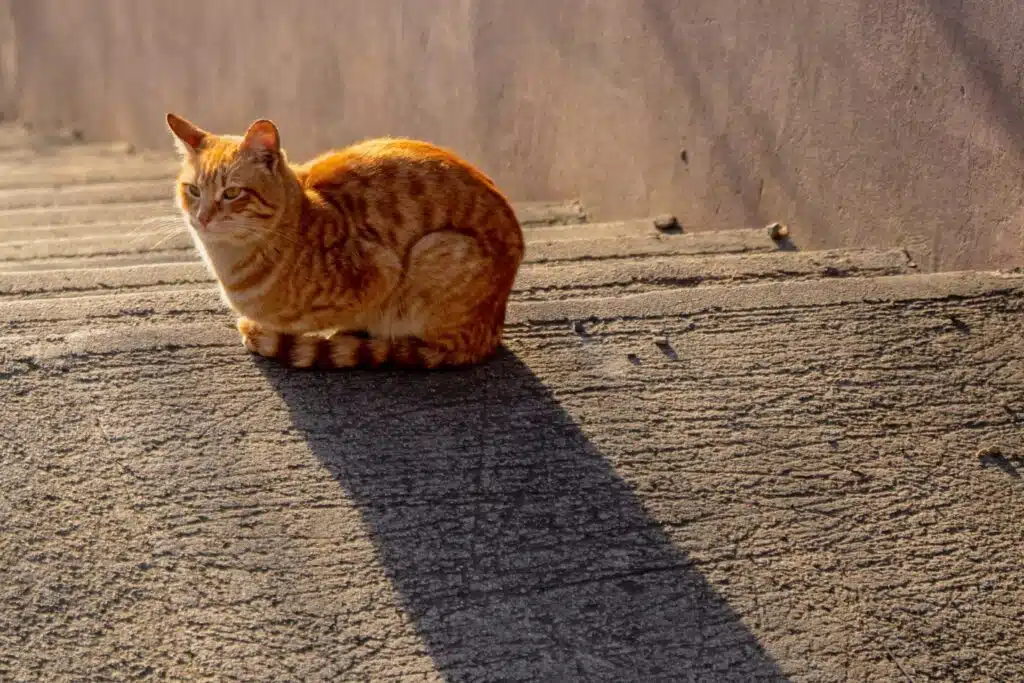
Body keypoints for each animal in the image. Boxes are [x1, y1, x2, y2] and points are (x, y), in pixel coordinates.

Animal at [165, 113, 528, 368]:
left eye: (231, 193)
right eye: (193, 190)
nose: (202, 217)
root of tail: (492, 330)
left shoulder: (382, 271)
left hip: (436, 252)